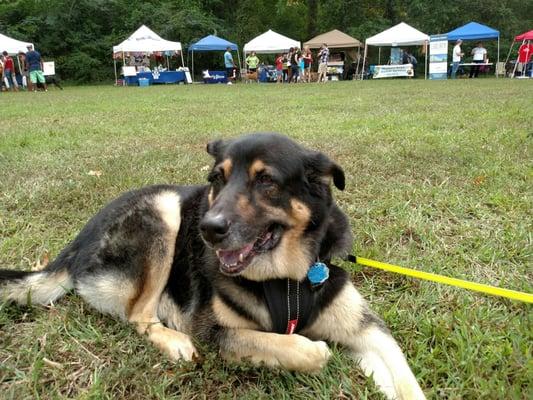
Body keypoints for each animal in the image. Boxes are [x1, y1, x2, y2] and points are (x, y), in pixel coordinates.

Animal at [0, 133, 424, 398]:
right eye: (216, 179)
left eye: (265, 180)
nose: (208, 228)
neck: (285, 278)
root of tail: (76, 243)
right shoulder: (215, 331)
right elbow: (297, 347)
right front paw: (312, 351)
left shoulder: (368, 330)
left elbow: (406, 380)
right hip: (164, 211)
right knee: (139, 316)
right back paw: (174, 342)